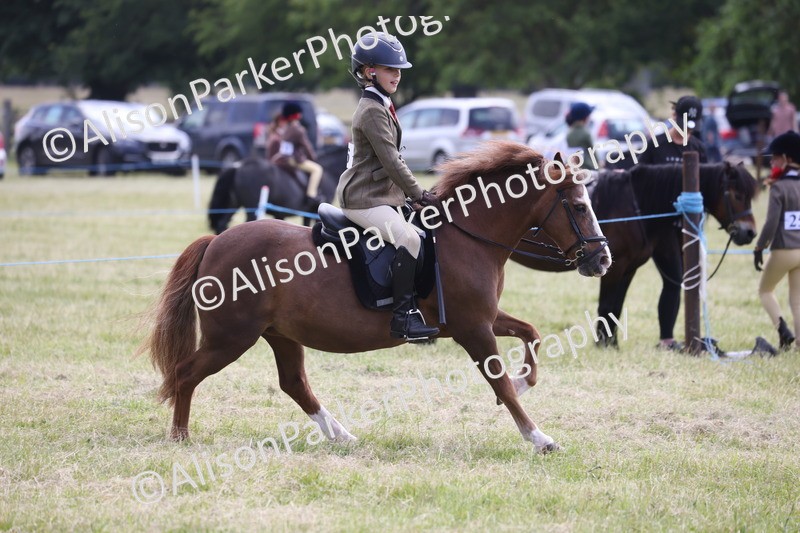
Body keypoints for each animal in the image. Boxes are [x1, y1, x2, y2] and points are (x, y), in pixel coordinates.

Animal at [208, 145, 347, 234]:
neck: (329, 170)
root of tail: (239, 166)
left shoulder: (307, 212)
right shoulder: (317, 211)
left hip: (233, 204)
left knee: (222, 224)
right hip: (252, 208)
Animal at [509, 162, 758, 344]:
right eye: (737, 195)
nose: (750, 232)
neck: (634, 204)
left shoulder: (628, 270)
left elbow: (616, 308)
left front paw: (612, 344)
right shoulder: (614, 268)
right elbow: (606, 306)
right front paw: (604, 344)